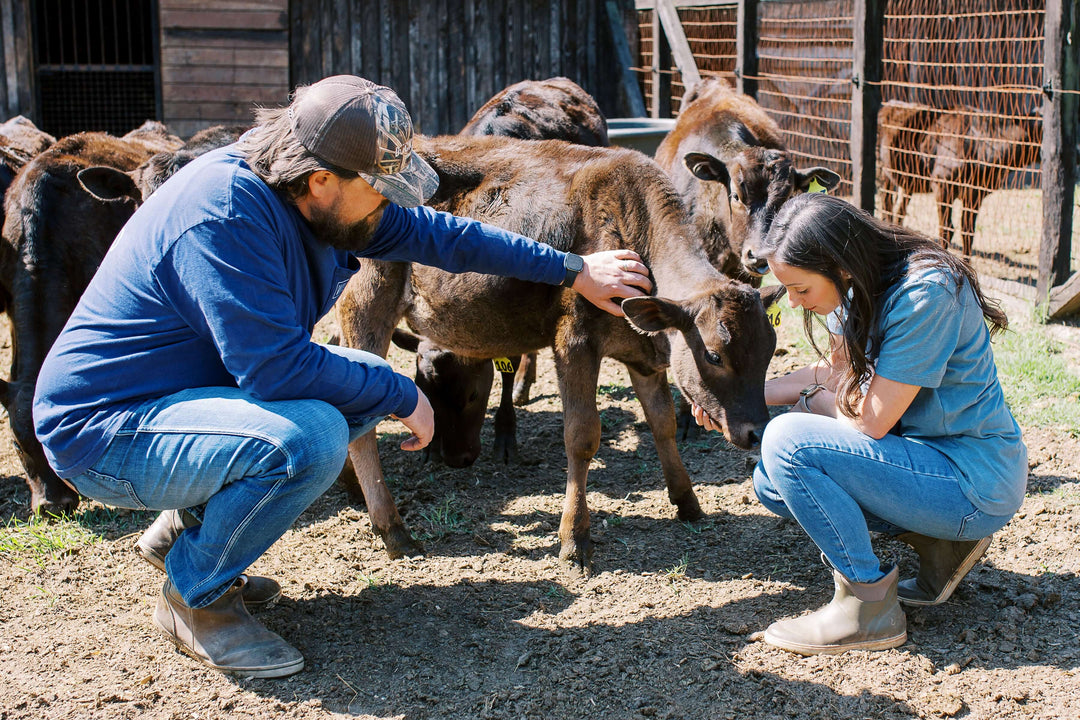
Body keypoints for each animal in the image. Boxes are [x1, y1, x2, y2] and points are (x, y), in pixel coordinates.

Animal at [334, 134, 786, 569]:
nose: (757, 432)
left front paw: (687, 503)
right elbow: (582, 436)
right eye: (714, 356)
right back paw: (394, 530)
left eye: (768, 354)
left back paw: (351, 487)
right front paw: (575, 539)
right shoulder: (574, 342)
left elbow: (662, 424)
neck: (632, 233)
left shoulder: (644, 356)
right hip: (367, 304)